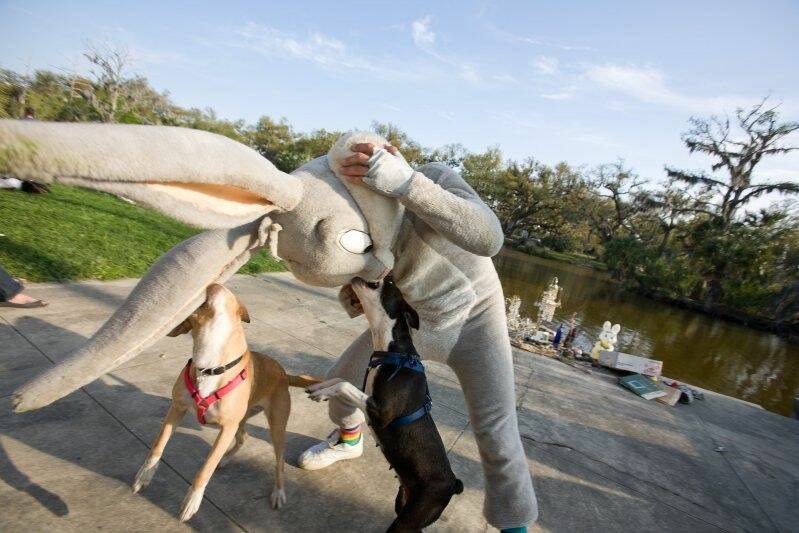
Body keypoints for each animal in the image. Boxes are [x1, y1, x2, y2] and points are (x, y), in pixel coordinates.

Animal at [131, 282, 318, 520]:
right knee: (243, 437)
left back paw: (278, 492)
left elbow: (206, 468)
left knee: (279, 463)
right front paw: (144, 475)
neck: (209, 363)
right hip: (241, 420)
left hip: (275, 428)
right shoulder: (177, 408)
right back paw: (227, 459)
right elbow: (158, 445)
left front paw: (192, 500)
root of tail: (285, 374)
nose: (212, 282)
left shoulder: (226, 427)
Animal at [310, 276, 466, 528]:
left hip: (410, 518)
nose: (364, 275)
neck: (393, 350)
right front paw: (320, 388)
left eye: (390, 283)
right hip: (403, 505)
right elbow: (342, 380)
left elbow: (345, 385)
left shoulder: (382, 411)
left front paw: (322, 393)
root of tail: (453, 484)